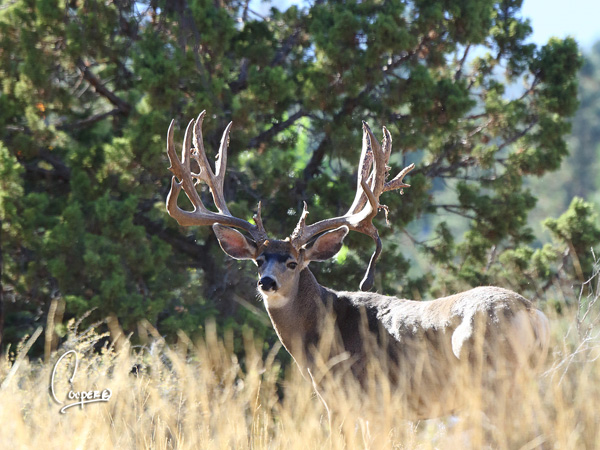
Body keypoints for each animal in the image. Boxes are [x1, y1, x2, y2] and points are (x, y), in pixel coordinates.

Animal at [163, 110, 548, 420]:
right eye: (259, 260)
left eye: (293, 262)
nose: (266, 283)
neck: (320, 336)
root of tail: (532, 314)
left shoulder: (356, 398)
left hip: (494, 379)